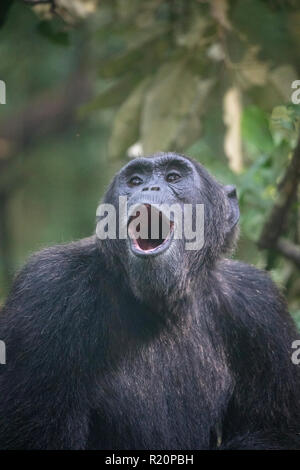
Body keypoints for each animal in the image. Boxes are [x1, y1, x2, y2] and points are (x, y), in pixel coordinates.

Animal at [0, 152, 300, 450]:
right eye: (134, 180)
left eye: (173, 177)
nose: (149, 187)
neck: (164, 305)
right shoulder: (45, 292)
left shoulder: (260, 307)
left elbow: (276, 430)